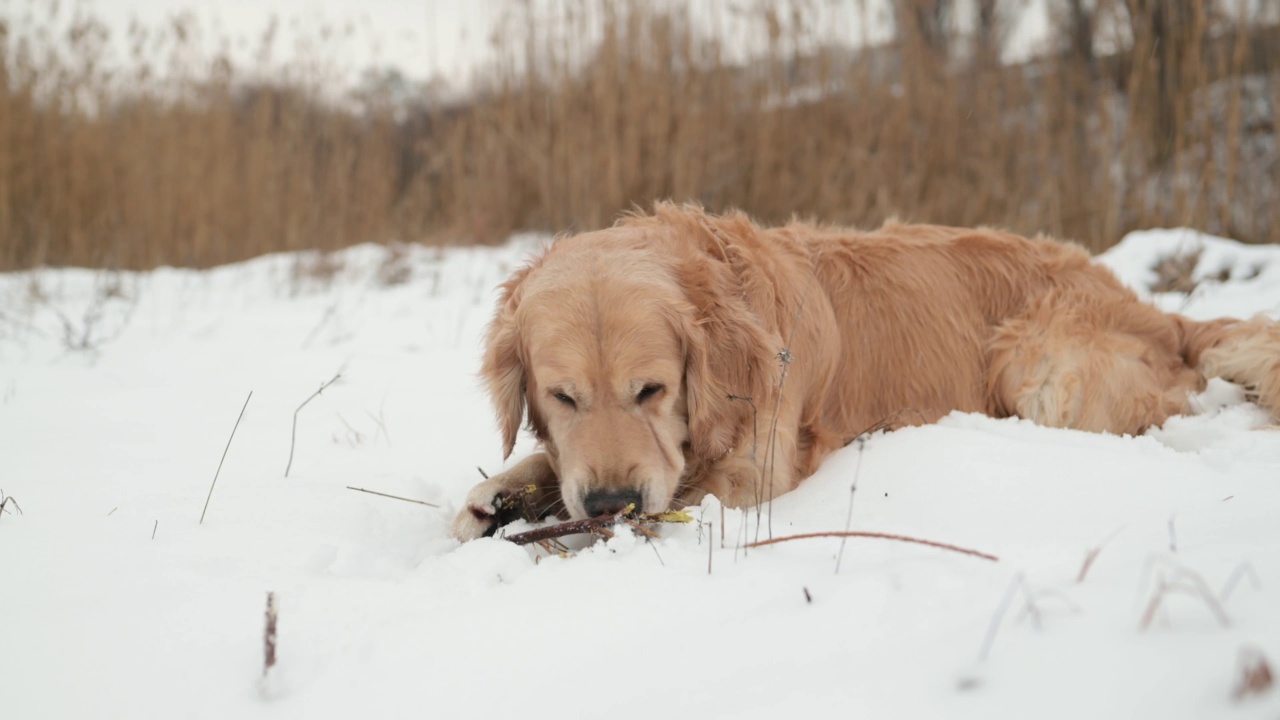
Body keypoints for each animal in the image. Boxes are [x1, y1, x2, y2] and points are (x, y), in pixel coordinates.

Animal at [453, 202, 1280, 538]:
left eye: (652, 390)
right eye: (562, 396)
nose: (610, 503)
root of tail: (1146, 304)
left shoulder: (757, 471)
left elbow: (687, 486)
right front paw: (500, 496)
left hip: (1037, 367)